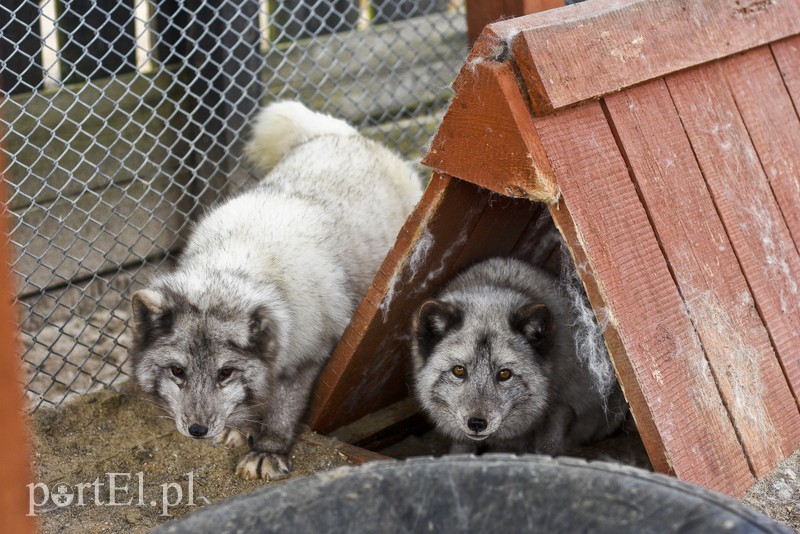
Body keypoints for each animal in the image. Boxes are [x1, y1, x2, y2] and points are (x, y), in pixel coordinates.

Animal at [128, 100, 422, 482]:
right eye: (178, 372)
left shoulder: (306, 358)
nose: (197, 430)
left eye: (225, 373)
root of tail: (343, 135)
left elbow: (281, 410)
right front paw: (239, 427)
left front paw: (268, 451)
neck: (235, 266)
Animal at [412, 258, 624, 456]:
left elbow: (548, 444)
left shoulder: (563, 406)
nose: (477, 423)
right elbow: (461, 446)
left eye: (504, 374)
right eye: (458, 370)